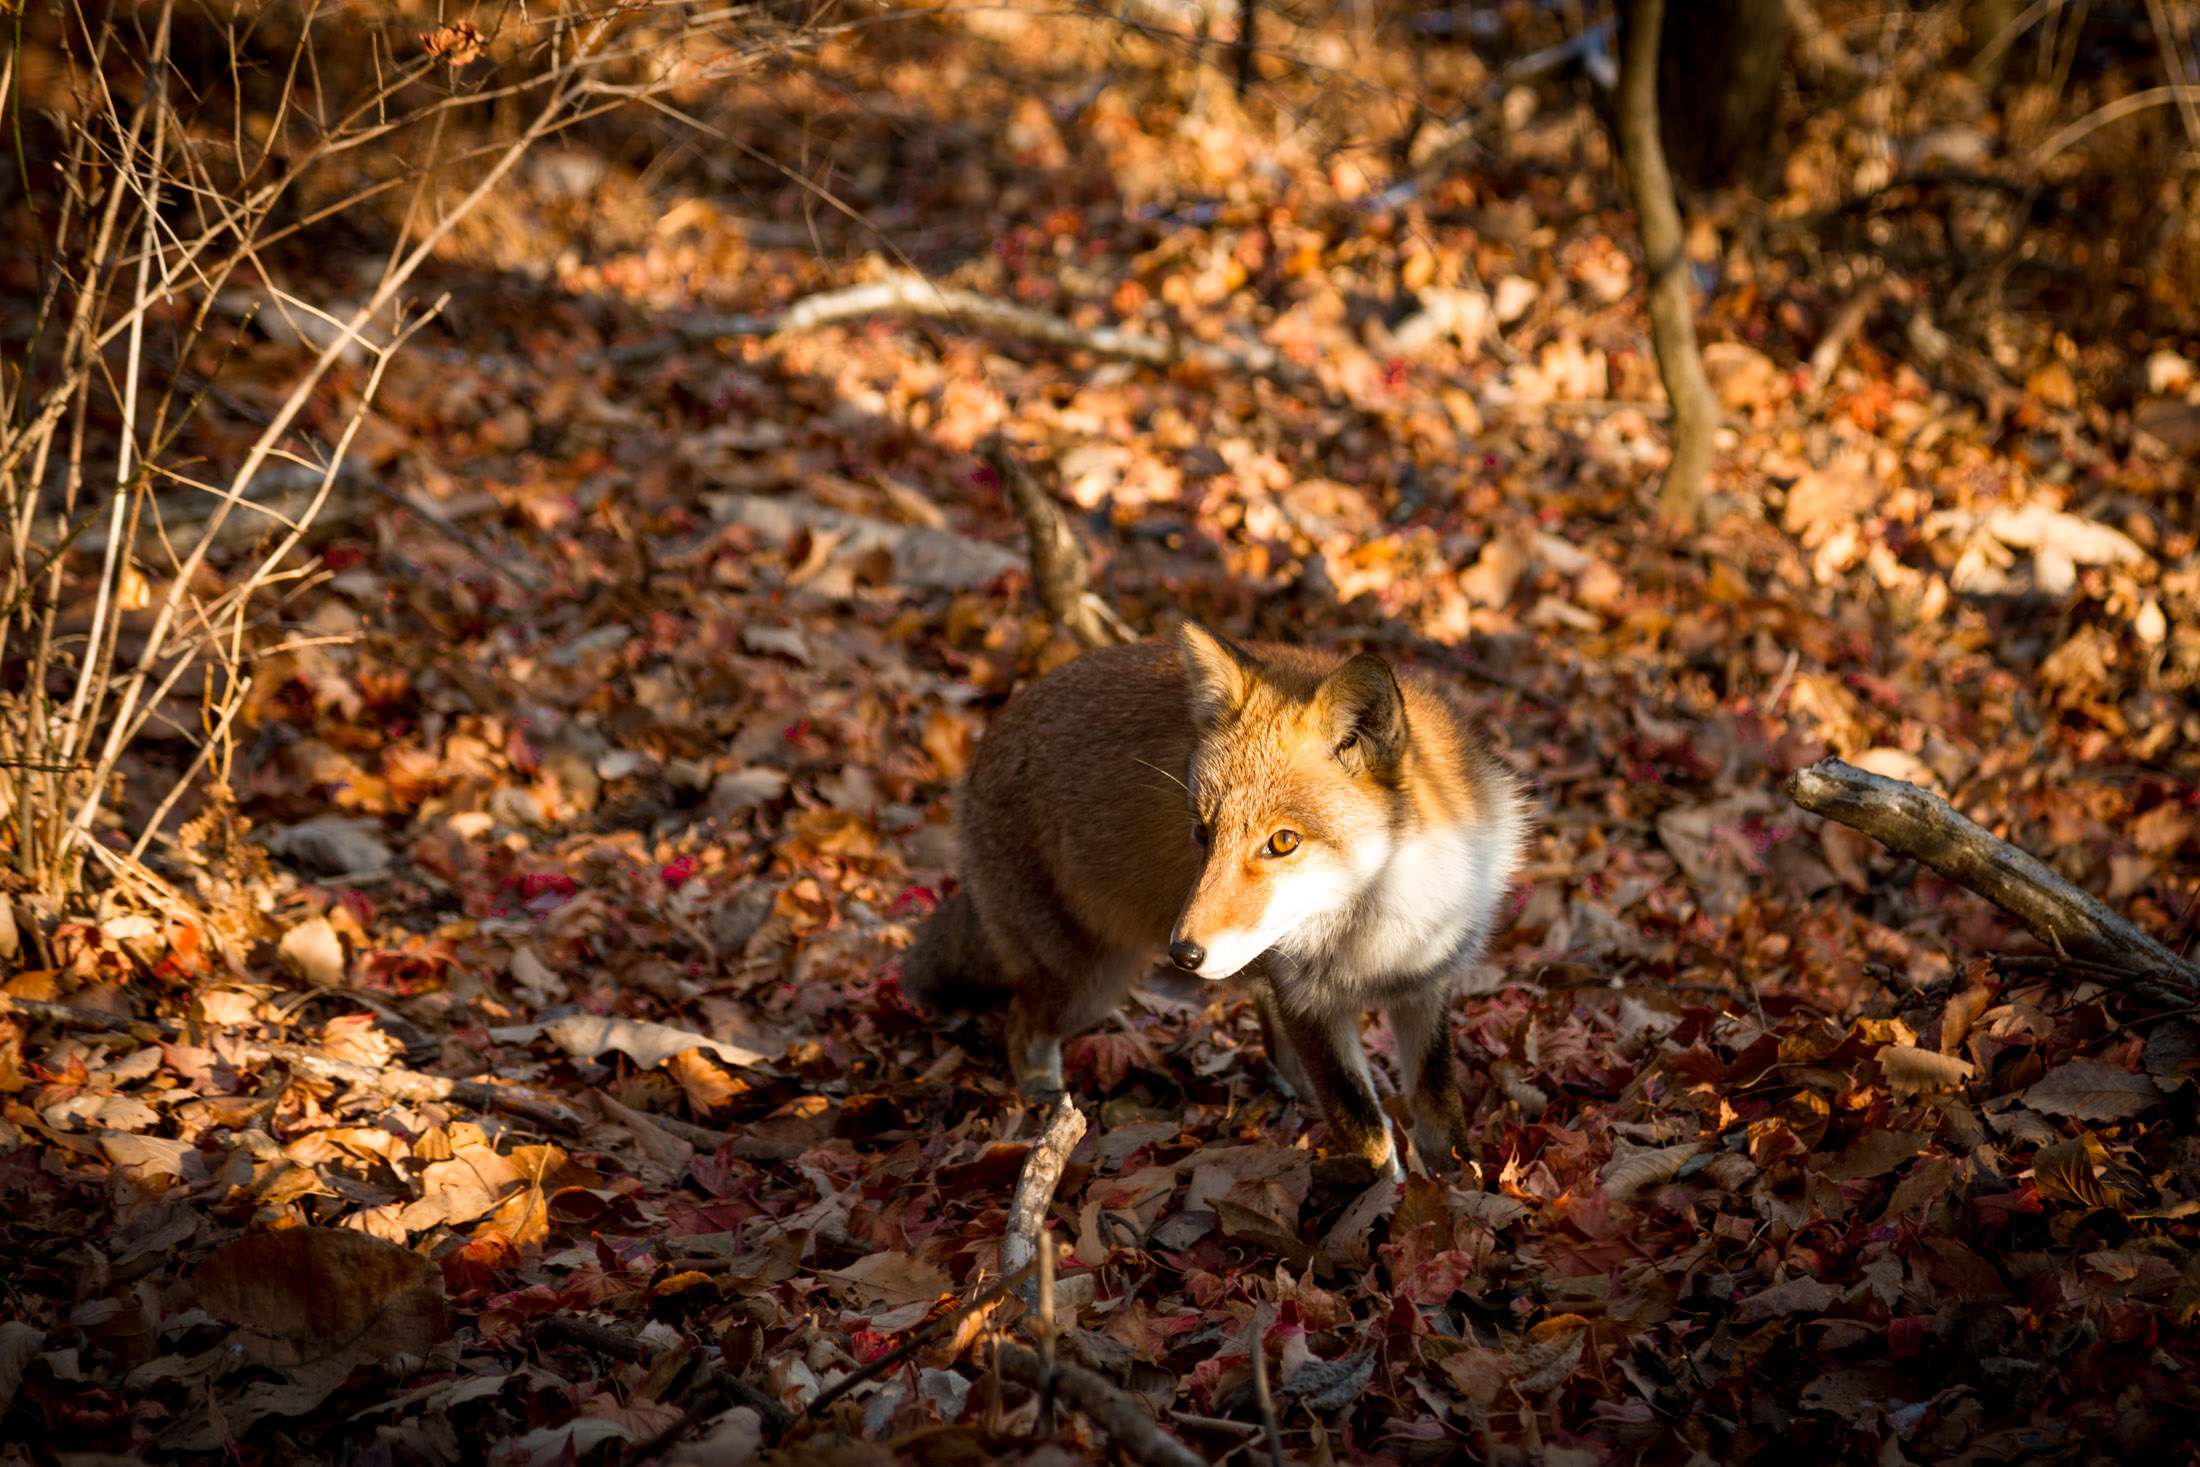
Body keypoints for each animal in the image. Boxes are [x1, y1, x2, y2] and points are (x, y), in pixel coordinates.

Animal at [901, 623, 1528, 1178]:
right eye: (1202, 833)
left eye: (1283, 842)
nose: (1183, 954)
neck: (1377, 933)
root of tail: (987, 739)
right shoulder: (1311, 1003)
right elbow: (1366, 1130)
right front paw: (1383, 1210)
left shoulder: (1425, 986)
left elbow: (1440, 1113)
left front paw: (1455, 1193)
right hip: (1086, 988)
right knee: (1019, 1024)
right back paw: (1041, 1104)